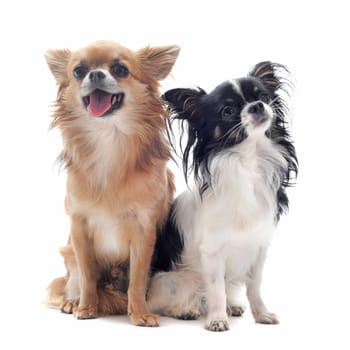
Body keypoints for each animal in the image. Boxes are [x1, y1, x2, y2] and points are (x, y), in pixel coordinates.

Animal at [44, 39, 179, 326]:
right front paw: (86, 307)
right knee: (72, 280)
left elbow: (137, 280)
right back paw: (71, 302)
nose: (95, 74)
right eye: (78, 71)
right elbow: (87, 277)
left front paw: (139, 313)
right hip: (69, 253)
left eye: (120, 70)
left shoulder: (144, 231)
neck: (109, 141)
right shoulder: (80, 229)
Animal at [148, 60, 298, 330]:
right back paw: (186, 310)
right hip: (170, 279)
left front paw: (261, 314)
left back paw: (232, 306)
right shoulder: (212, 252)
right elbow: (216, 288)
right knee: (170, 299)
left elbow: (254, 287)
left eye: (263, 97)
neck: (248, 161)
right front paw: (217, 320)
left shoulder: (258, 247)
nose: (257, 106)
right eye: (227, 111)